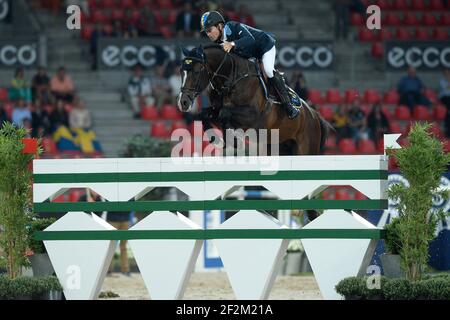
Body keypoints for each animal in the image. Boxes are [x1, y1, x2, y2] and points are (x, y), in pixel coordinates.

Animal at [177, 43, 334, 156]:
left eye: (196, 71)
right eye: (181, 71)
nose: (183, 102)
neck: (231, 77)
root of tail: (315, 115)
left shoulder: (253, 116)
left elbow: (224, 113)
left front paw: (234, 140)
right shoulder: (216, 109)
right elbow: (205, 114)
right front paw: (218, 139)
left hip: (305, 148)